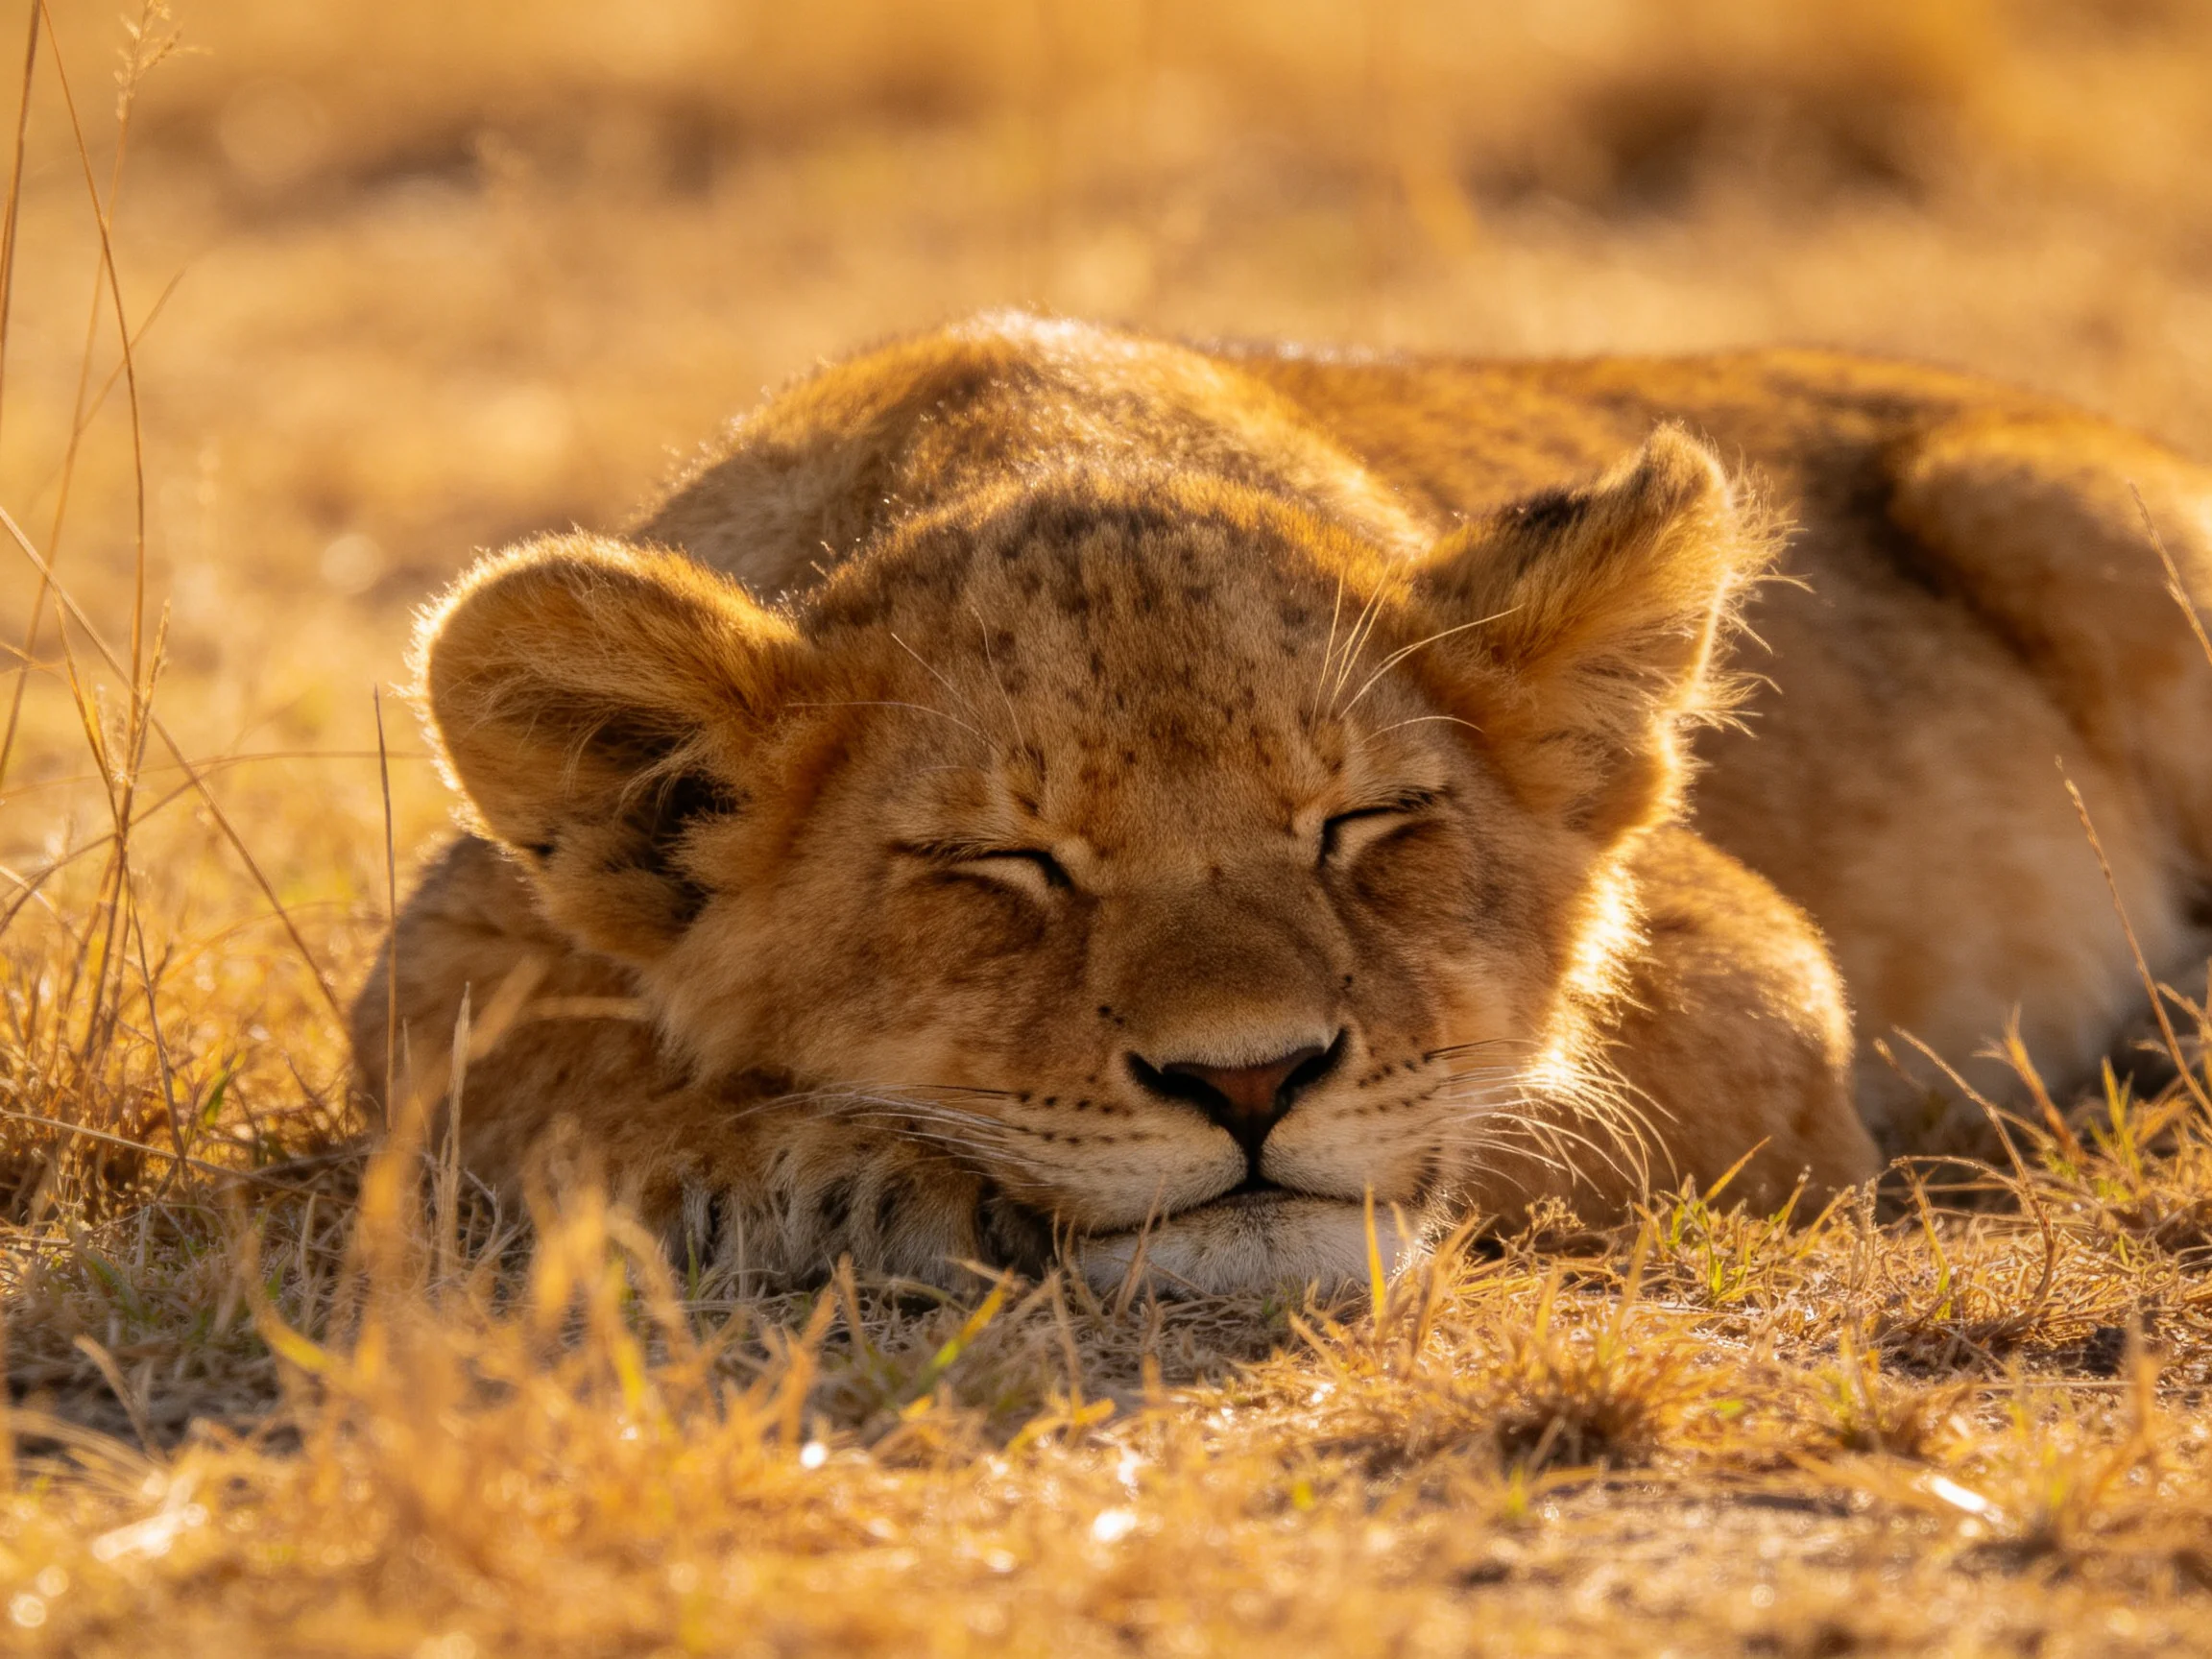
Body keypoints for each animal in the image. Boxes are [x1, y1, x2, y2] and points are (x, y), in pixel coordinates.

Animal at [353, 312, 2212, 1298]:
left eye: (1357, 826)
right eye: (1005, 865)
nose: (1246, 1080)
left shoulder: (1759, 982)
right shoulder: (443, 955)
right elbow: (530, 1090)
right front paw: (839, 1170)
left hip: (2060, 510)